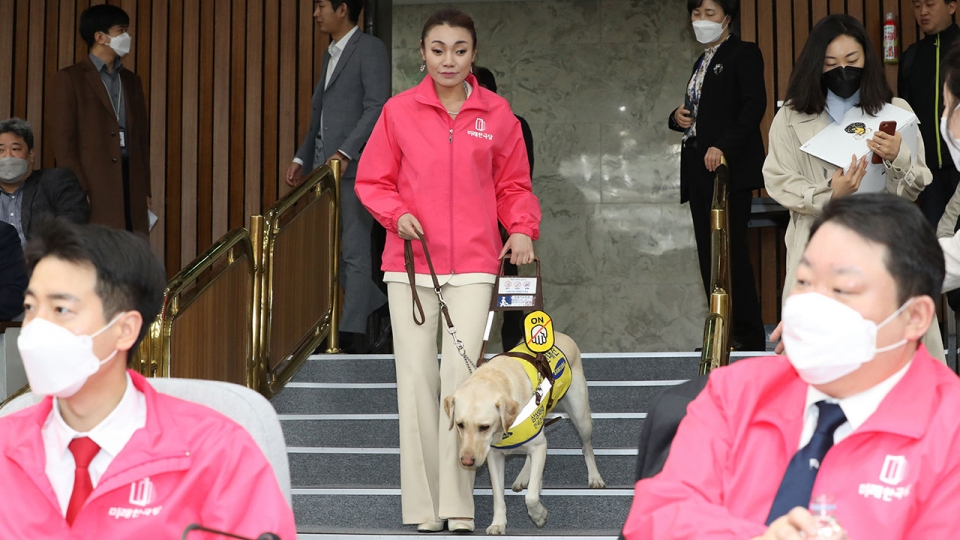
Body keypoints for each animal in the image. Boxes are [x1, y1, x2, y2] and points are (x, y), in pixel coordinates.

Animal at [440, 332, 600, 532]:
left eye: (484, 427)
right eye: (460, 424)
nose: (466, 462)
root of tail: (561, 335)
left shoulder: (538, 445)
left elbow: (531, 497)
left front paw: (538, 515)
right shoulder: (494, 456)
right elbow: (498, 496)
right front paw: (498, 523)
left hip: (581, 417)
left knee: (586, 446)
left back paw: (595, 477)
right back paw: (524, 476)